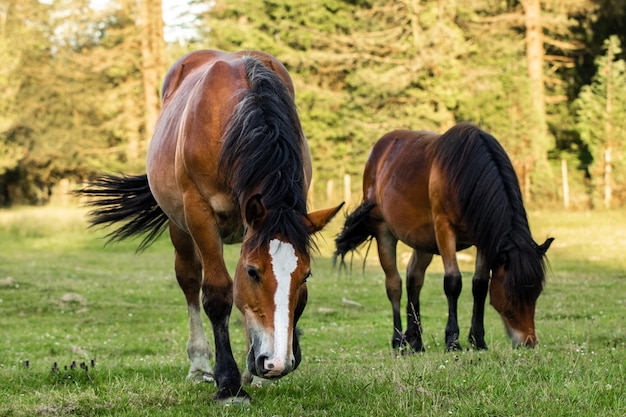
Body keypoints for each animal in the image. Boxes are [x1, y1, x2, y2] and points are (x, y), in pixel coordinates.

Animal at [77, 49, 344, 404]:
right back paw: (200, 365)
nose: (276, 362)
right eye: (253, 272)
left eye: (306, 275)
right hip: (180, 227)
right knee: (190, 280)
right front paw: (228, 383)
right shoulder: (199, 213)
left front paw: (253, 371)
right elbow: (217, 293)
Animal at [332, 122, 552, 352]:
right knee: (394, 284)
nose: (528, 342)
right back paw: (399, 341)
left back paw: (416, 341)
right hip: (384, 231)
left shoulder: (483, 238)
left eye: (537, 292)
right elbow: (453, 282)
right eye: (511, 294)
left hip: (422, 241)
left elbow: (480, 284)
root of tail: (377, 152)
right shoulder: (444, 229)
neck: (464, 175)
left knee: (414, 279)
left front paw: (478, 340)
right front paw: (452, 340)